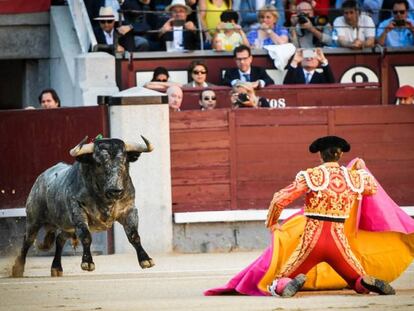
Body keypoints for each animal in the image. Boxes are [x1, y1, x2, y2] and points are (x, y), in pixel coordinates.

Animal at [13, 136, 155, 278]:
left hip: (67, 225)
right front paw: (87, 262)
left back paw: (56, 268)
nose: (116, 191)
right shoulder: (78, 211)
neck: (105, 200)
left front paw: (146, 259)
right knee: (27, 240)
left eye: (125, 162)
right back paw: (17, 269)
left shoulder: (129, 210)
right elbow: (86, 237)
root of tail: (40, 178)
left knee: (60, 240)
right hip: (34, 219)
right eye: (98, 163)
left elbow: (134, 236)